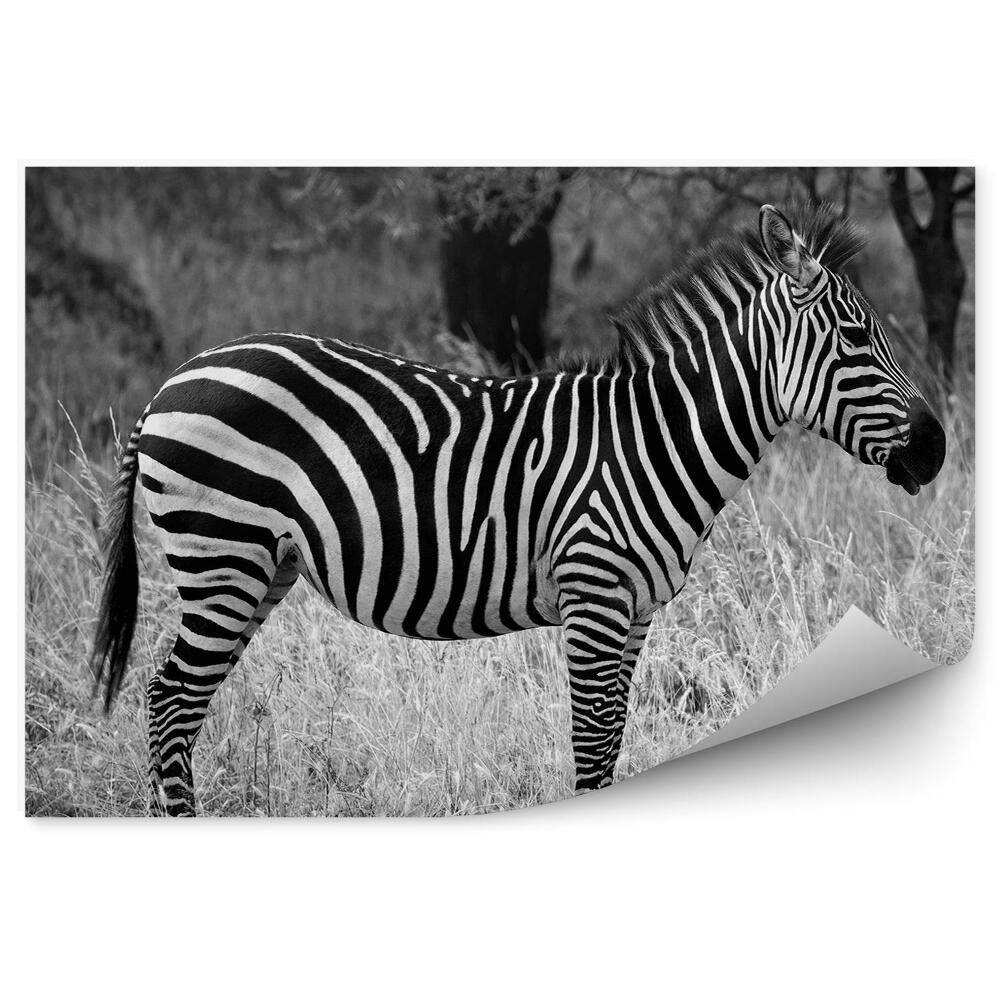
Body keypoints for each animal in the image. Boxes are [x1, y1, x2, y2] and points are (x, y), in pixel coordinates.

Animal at [89, 203, 946, 816]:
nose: (937, 449)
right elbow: (591, 747)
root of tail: (171, 382)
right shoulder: (594, 596)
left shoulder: (636, 611)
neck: (651, 439)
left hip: (261, 567)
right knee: (168, 702)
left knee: (177, 705)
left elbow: (611, 742)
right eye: (855, 338)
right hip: (222, 557)